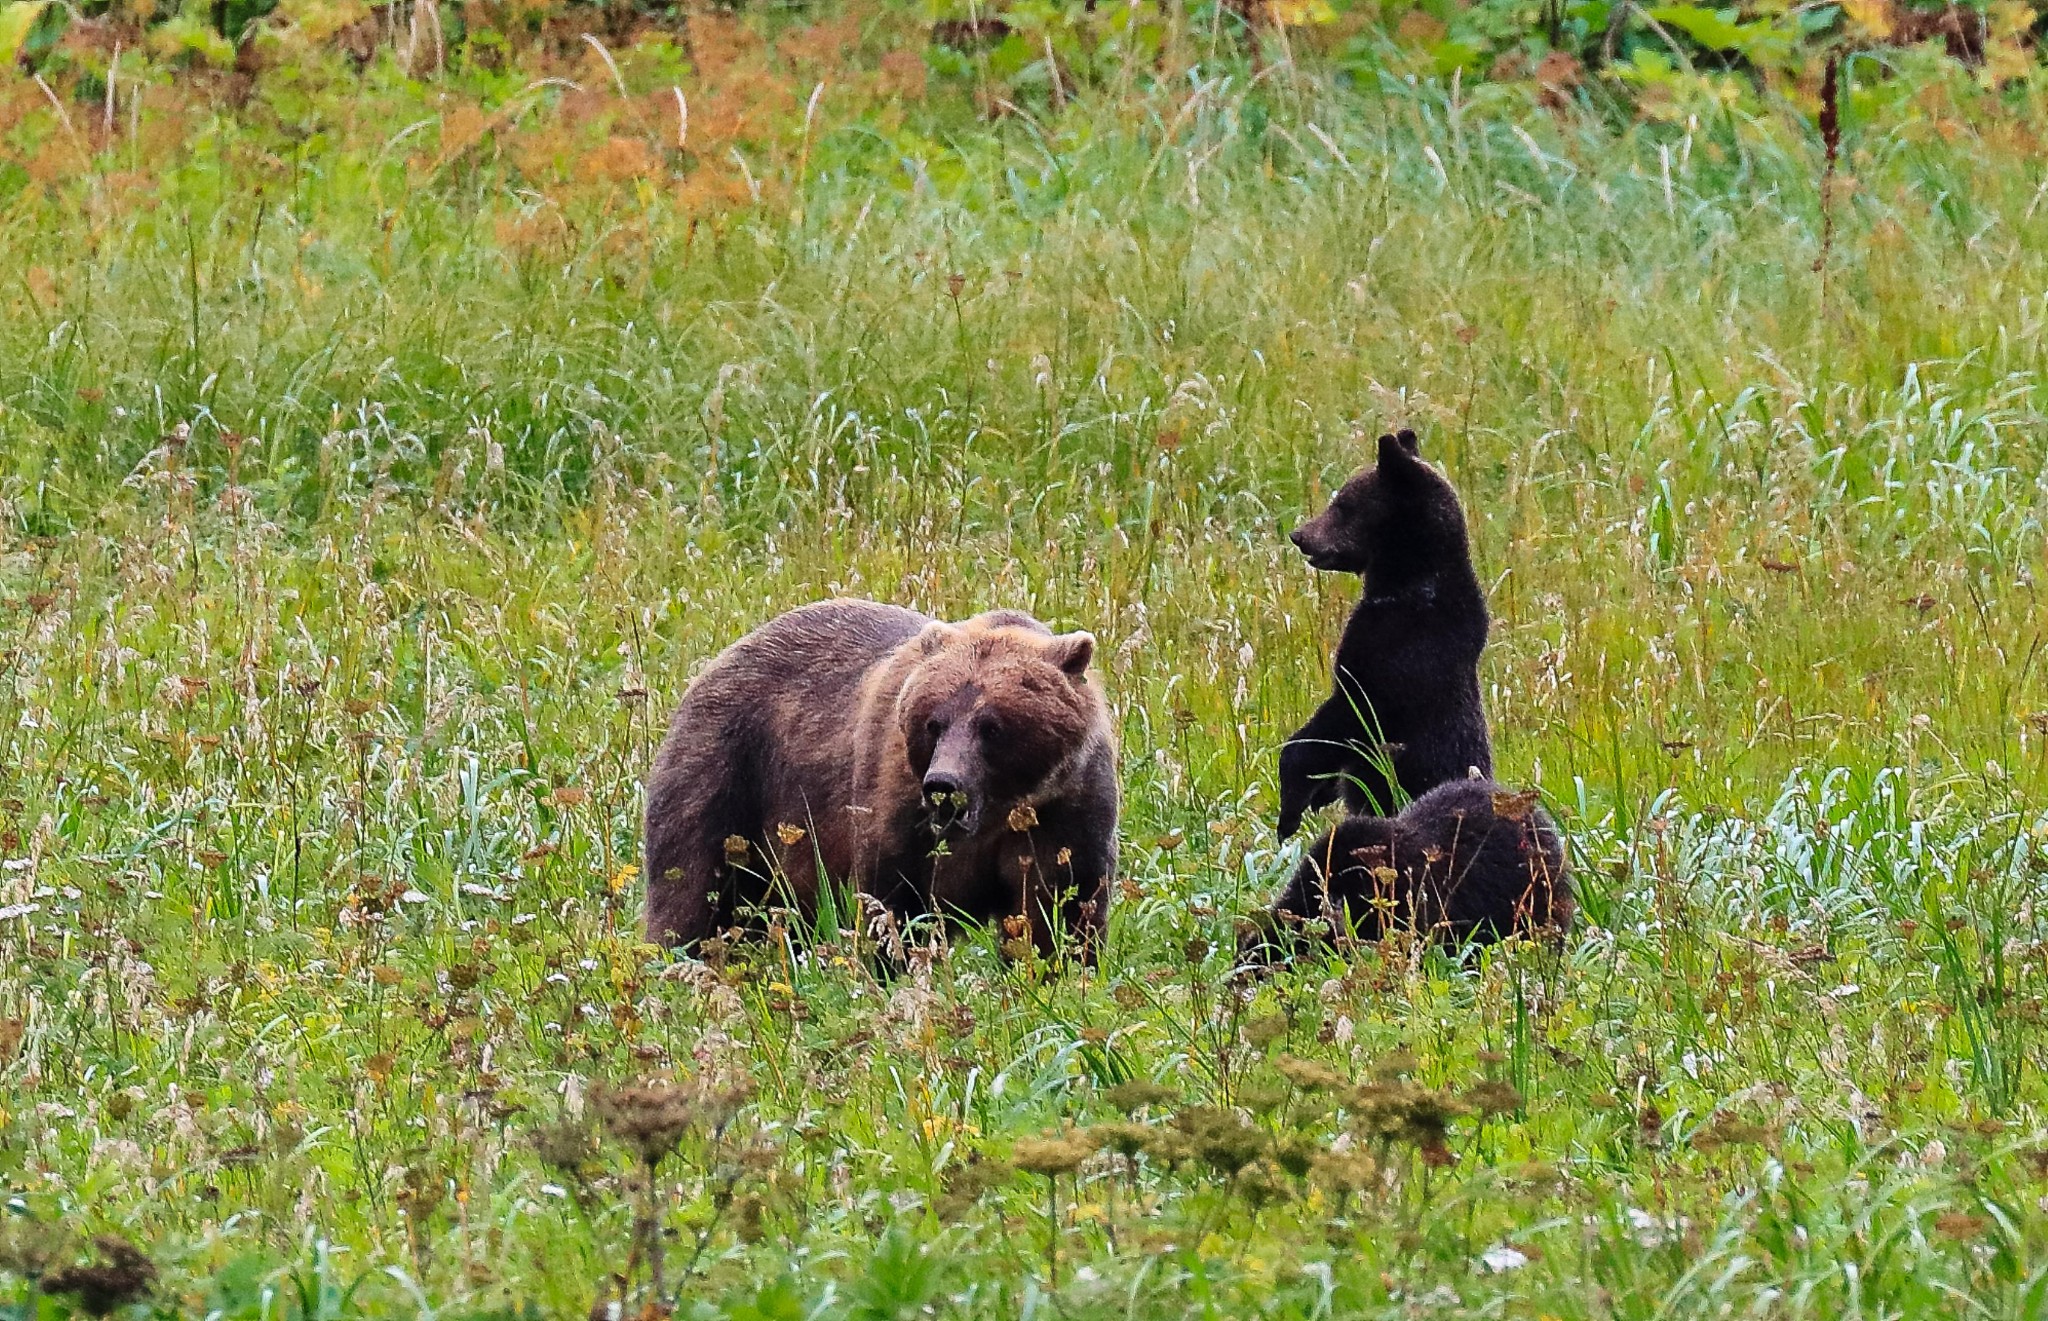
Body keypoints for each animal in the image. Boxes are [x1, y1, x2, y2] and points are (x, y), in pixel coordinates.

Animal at [643, 598, 1114, 958]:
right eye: (934, 723)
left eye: (991, 726)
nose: (943, 786)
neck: (1000, 812)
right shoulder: (896, 803)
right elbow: (891, 902)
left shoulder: (1067, 809)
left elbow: (1062, 908)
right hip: (728, 774)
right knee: (690, 885)